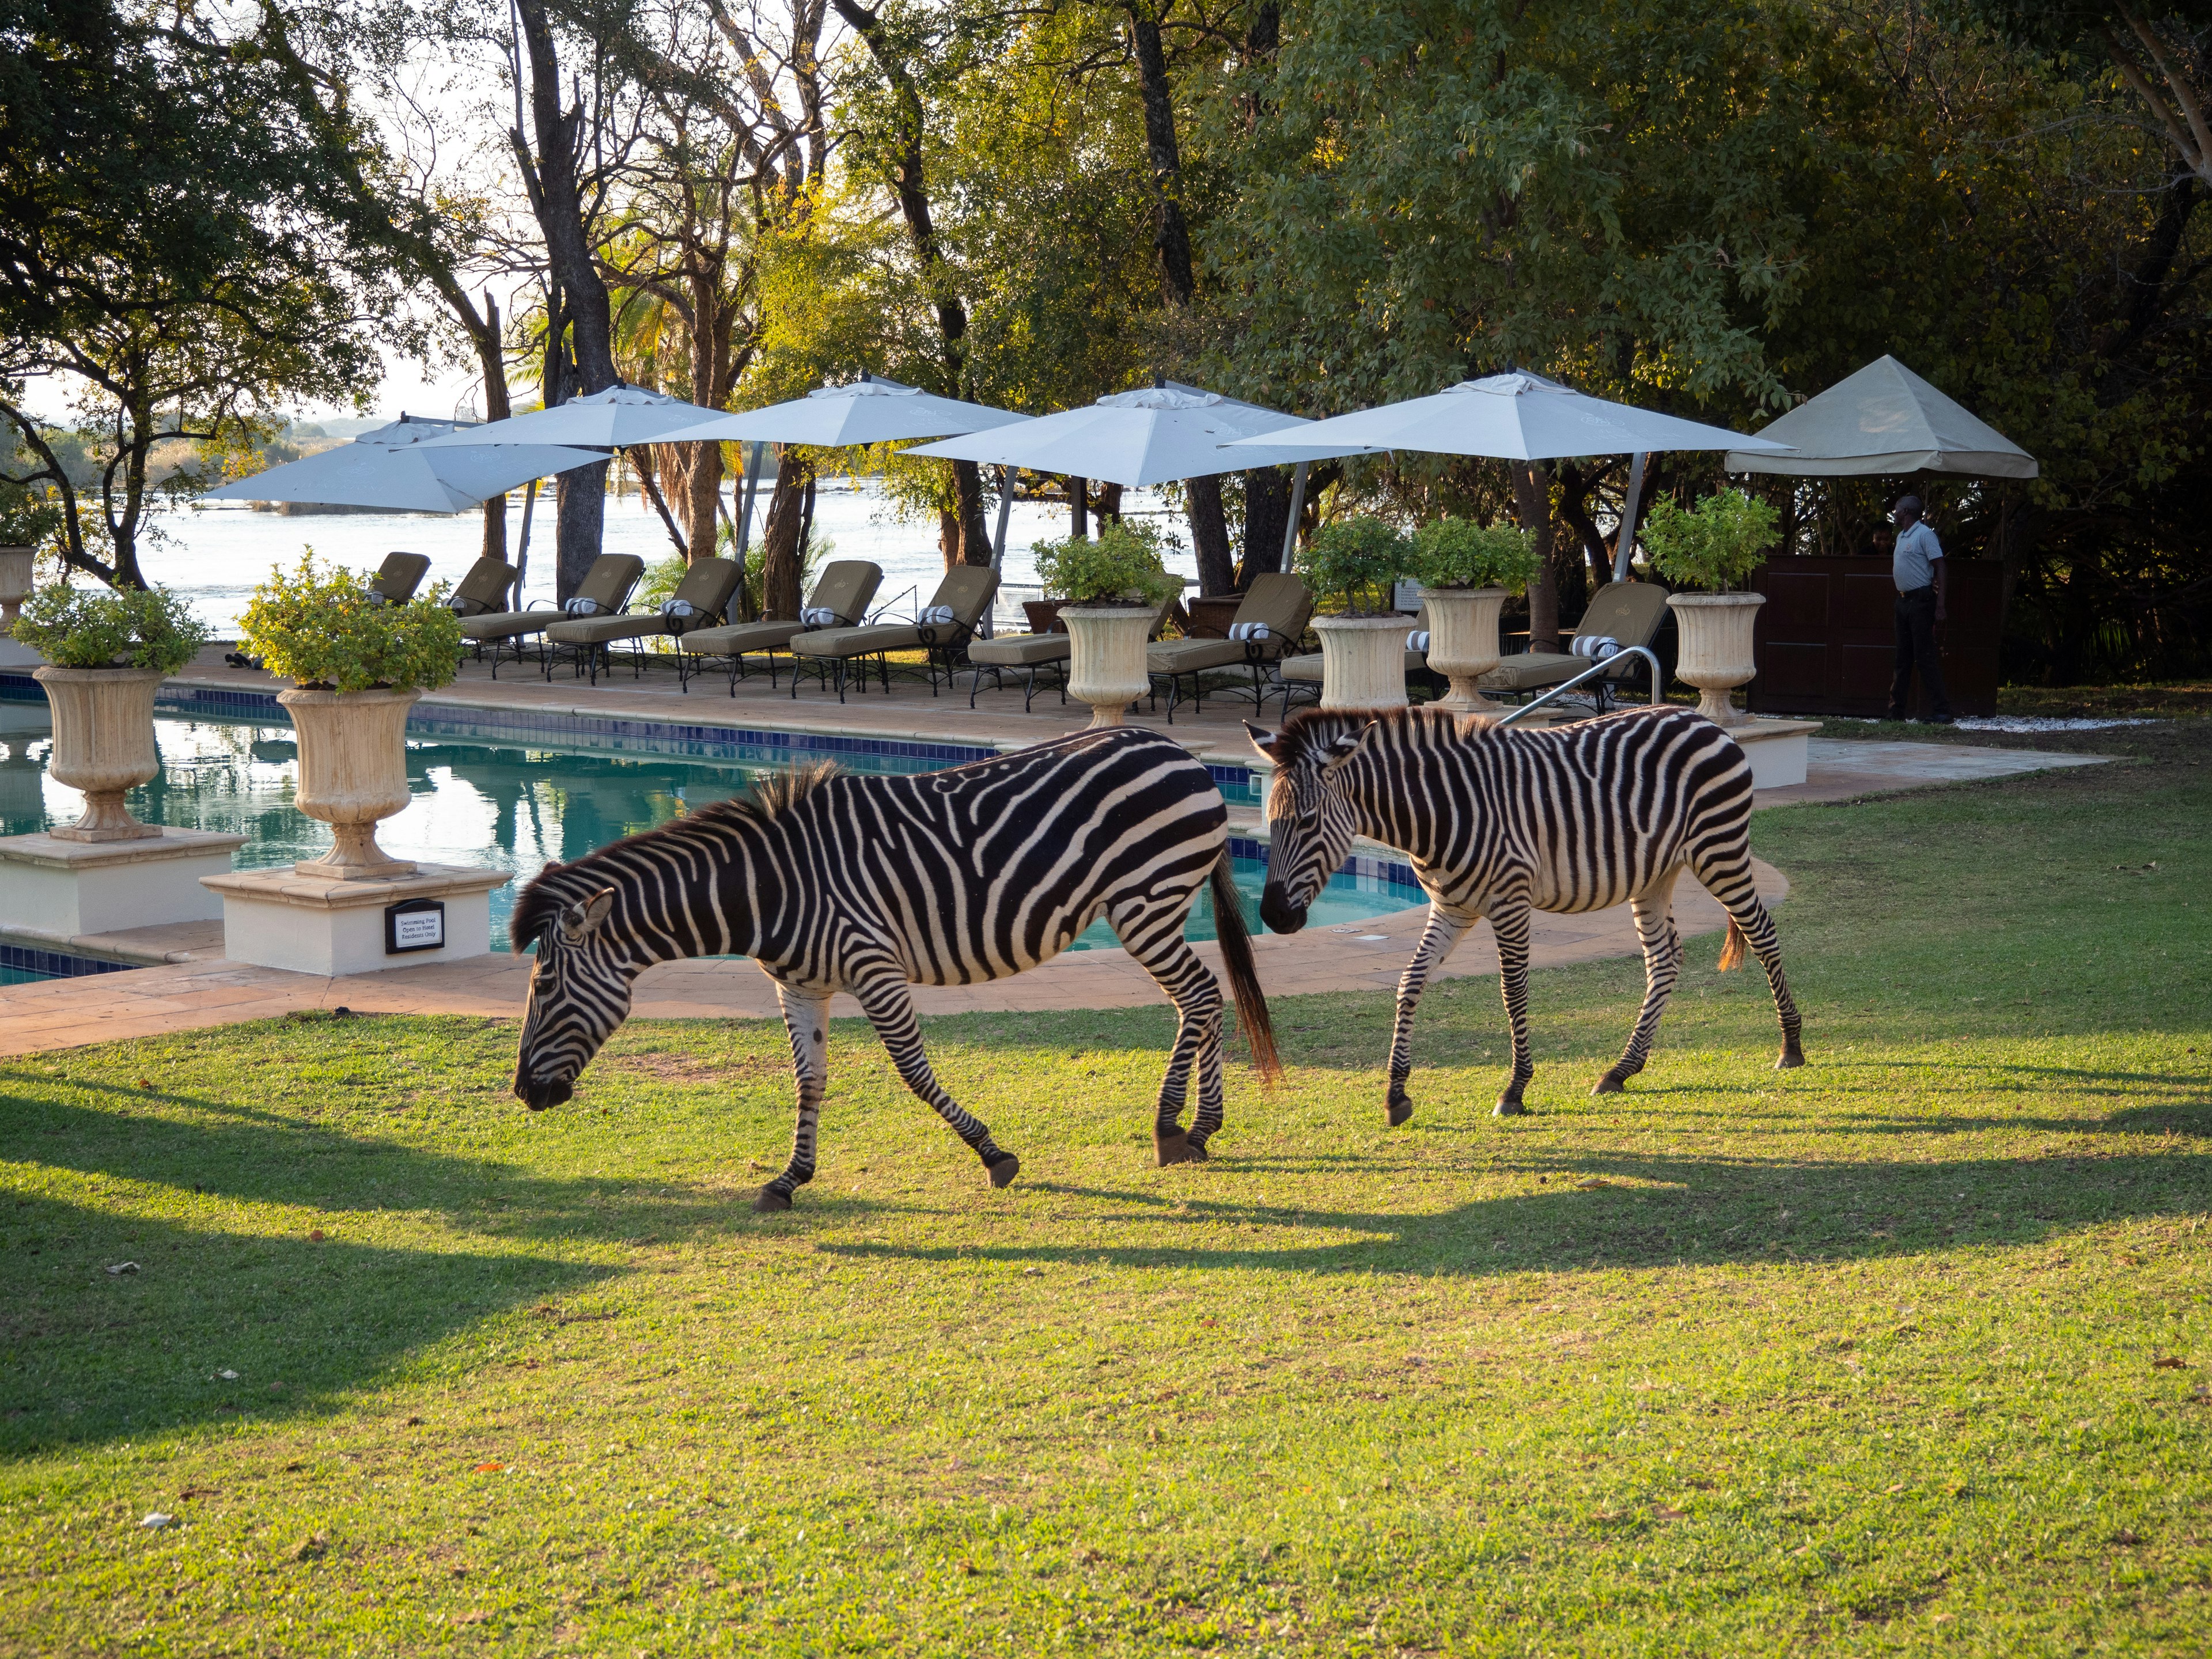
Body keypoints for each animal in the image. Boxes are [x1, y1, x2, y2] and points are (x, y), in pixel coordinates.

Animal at [506, 725, 1283, 1212]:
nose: (522, 1096)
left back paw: (1170, 1128)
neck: (768, 889)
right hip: (1159, 902)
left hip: (1144, 901)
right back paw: (1202, 1129)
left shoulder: (872, 964)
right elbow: (809, 1082)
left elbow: (912, 1070)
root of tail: (1179, 751)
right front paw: (789, 1179)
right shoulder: (798, 985)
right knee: (1205, 998)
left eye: (543, 987)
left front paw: (993, 1155)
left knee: (1198, 997)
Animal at [1247, 707, 1796, 1123]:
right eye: (1270, 820)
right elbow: (1408, 982)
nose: (1274, 917)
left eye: (1307, 821)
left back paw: (1791, 1047)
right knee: (1664, 959)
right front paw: (1396, 1094)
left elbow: (1512, 993)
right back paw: (1621, 1070)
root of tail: (1702, 720)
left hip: (1718, 850)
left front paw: (1514, 1090)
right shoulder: (1451, 908)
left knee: (1763, 932)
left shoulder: (1509, 901)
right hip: (1655, 874)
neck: (1437, 812)